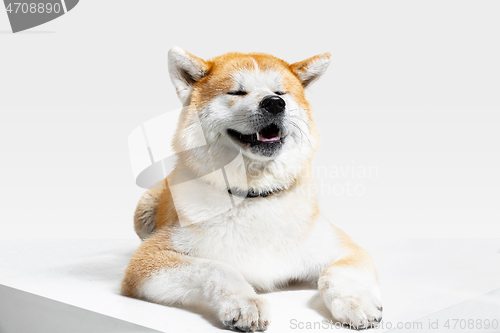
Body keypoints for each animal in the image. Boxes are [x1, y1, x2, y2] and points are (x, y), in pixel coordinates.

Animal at [122, 46, 382, 330]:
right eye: (237, 92)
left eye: (281, 92)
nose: (274, 103)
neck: (255, 196)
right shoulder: (148, 260)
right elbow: (217, 268)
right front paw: (245, 303)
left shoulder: (346, 250)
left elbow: (333, 273)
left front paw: (355, 302)